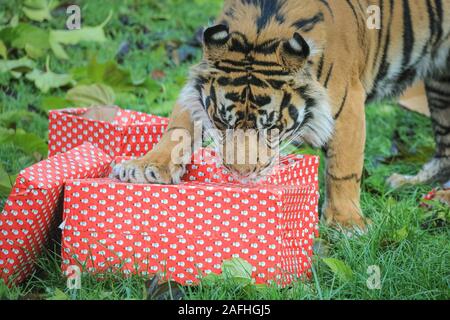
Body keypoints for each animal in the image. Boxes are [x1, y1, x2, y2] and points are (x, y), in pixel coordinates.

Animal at [111, 0, 450, 230]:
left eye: (272, 126)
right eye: (221, 121)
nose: (241, 174)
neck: (263, 28)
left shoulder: (347, 104)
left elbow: (344, 168)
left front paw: (345, 221)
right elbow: (177, 129)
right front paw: (145, 168)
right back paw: (408, 183)